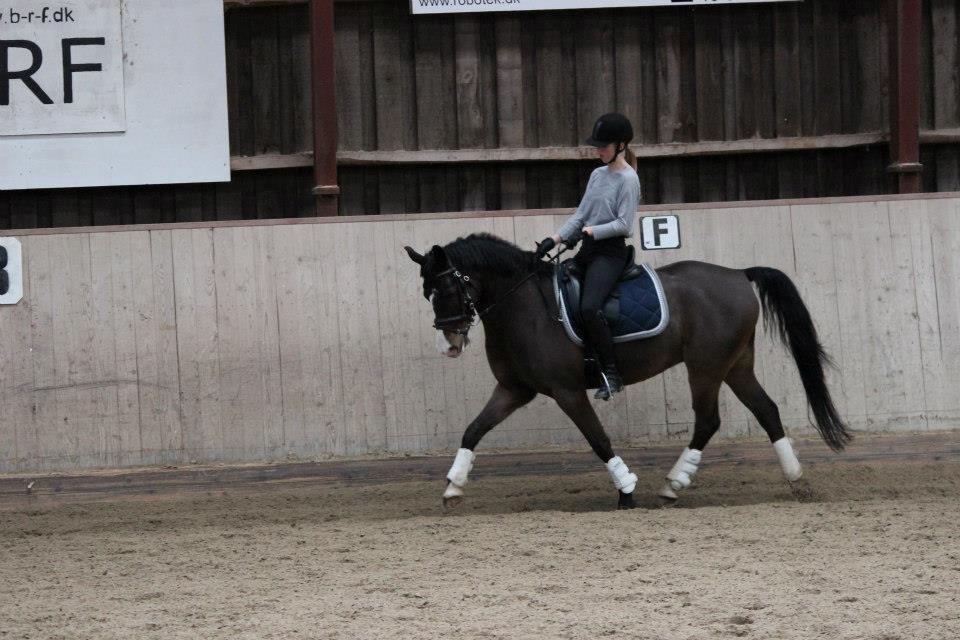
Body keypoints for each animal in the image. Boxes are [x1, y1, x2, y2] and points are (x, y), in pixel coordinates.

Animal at [404, 232, 848, 508]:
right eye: (427, 293)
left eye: (447, 287)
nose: (449, 344)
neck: (524, 307)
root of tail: (739, 274)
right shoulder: (514, 389)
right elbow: (474, 430)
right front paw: (453, 486)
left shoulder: (567, 391)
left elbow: (598, 439)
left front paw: (627, 490)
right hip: (735, 365)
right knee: (767, 410)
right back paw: (797, 479)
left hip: (705, 366)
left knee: (708, 420)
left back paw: (672, 486)